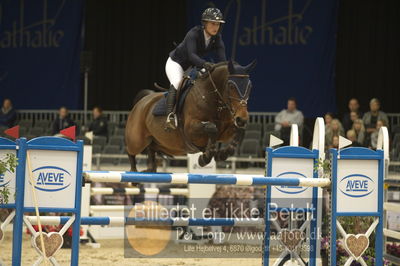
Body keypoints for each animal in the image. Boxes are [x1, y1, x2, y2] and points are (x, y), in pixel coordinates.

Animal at [124, 59, 256, 172]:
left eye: (250, 86)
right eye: (231, 86)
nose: (242, 119)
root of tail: (141, 102)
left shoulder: (225, 132)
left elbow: (239, 131)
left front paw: (222, 154)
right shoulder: (190, 129)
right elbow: (212, 127)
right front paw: (205, 157)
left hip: (161, 144)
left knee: (151, 153)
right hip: (137, 140)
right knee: (130, 151)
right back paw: (134, 174)